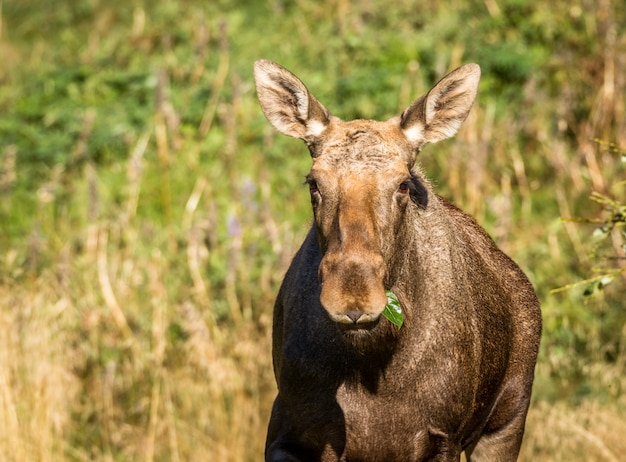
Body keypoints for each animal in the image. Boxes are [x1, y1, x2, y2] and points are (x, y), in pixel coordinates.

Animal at [251, 58, 540, 462]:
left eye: (403, 184)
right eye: (314, 182)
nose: (353, 300)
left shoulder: (444, 438)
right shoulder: (289, 433)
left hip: (506, 420)